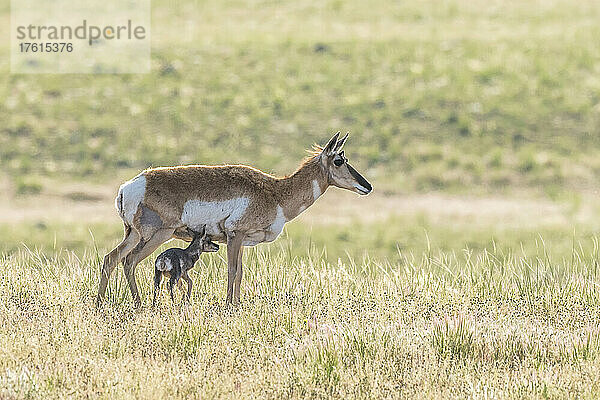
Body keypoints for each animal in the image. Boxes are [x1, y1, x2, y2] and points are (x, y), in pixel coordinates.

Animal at [97, 132, 370, 306]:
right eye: (339, 160)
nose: (367, 186)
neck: (276, 192)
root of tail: (129, 186)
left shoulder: (240, 241)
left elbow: (240, 272)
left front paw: (237, 304)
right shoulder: (234, 235)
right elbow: (231, 270)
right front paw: (229, 305)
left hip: (133, 235)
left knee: (111, 258)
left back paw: (100, 303)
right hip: (156, 236)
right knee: (129, 261)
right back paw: (139, 303)